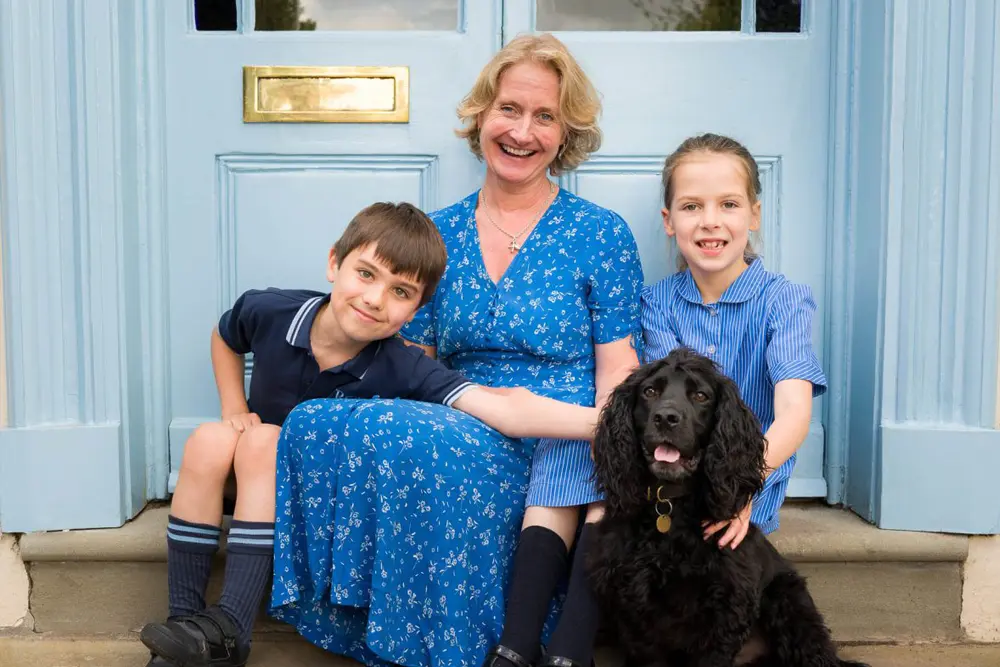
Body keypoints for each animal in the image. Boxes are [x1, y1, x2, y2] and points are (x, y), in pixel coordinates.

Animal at [584, 350, 868, 667]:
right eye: (649, 392)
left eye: (700, 396)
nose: (666, 418)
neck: (670, 506)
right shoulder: (635, 610)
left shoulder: (725, 611)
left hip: (791, 605)